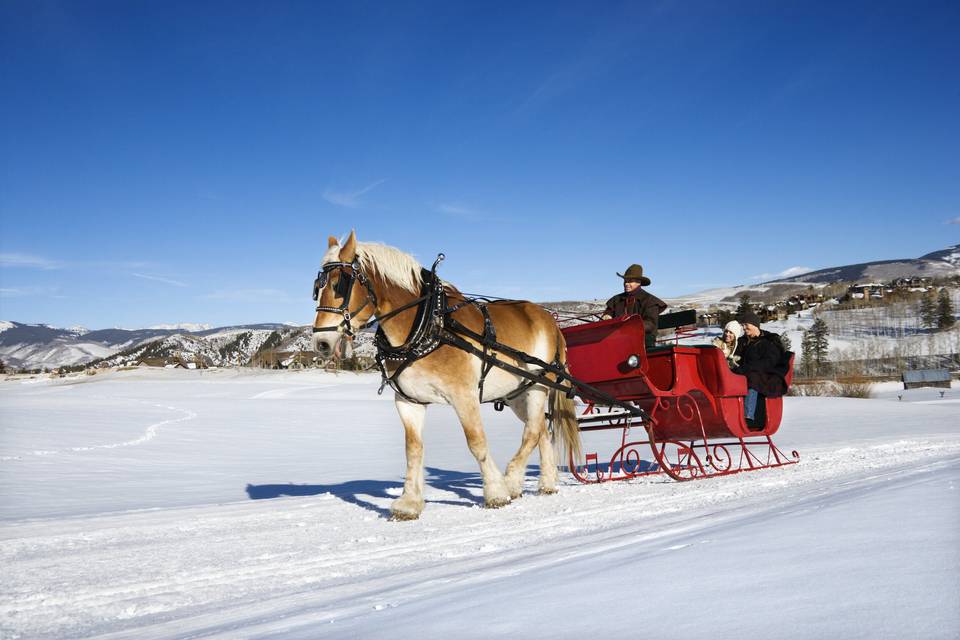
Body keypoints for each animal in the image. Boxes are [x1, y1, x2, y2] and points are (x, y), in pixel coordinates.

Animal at [316, 230, 580, 520]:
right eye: (317, 287)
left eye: (339, 285)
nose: (321, 343)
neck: (427, 323)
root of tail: (550, 320)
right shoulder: (408, 401)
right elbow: (413, 449)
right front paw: (409, 502)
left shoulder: (464, 395)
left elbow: (476, 442)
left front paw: (496, 492)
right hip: (516, 393)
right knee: (540, 429)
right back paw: (547, 482)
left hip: (537, 385)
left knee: (532, 431)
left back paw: (512, 480)